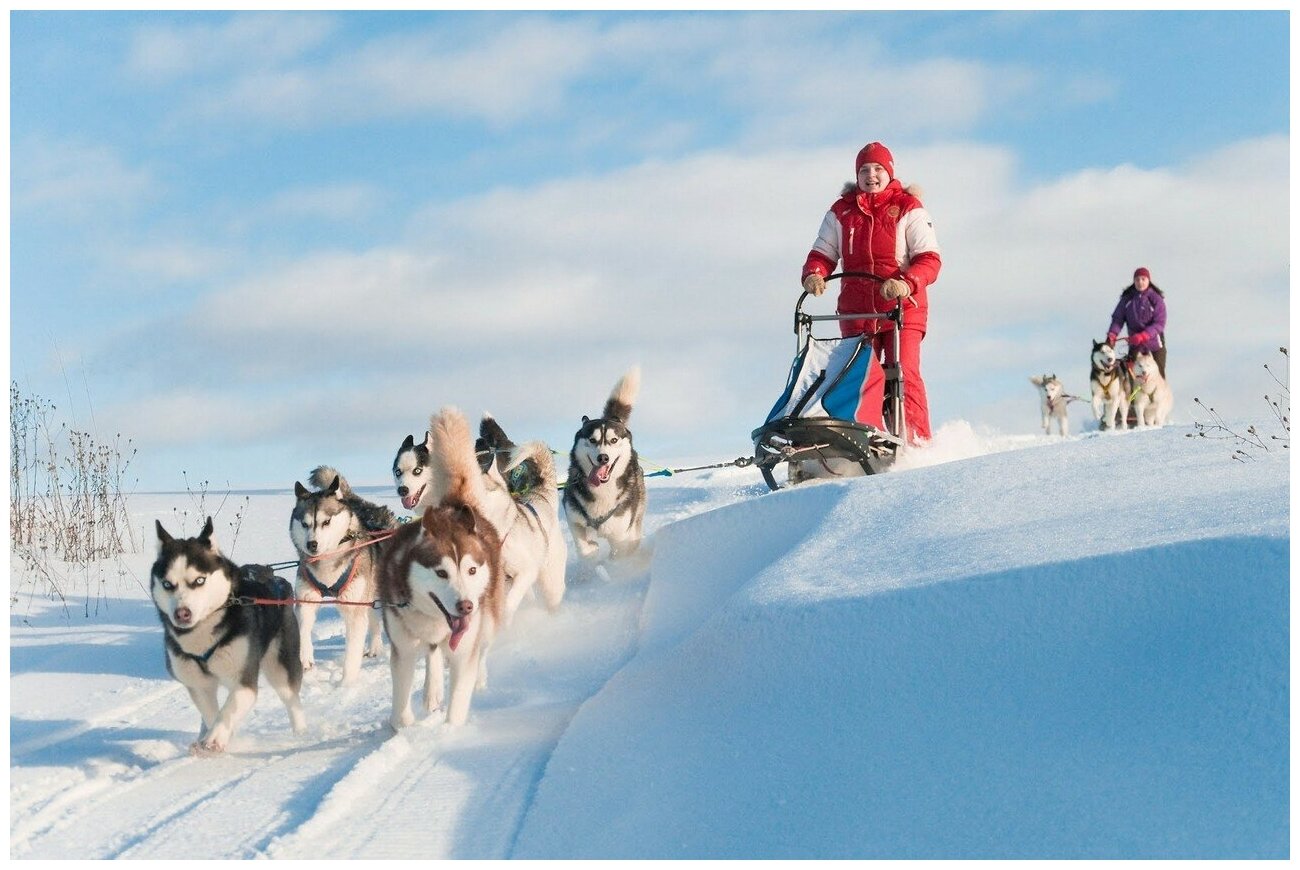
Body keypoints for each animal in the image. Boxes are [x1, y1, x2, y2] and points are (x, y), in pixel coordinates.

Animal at [150, 514, 305, 754]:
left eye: (199, 580)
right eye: (167, 584)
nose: (182, 614)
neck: (201, 638)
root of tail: (276, 579)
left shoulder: (244, 681)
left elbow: (228, 709)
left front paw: (216, 737)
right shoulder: (198, 685)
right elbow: (210, 713)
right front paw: (214, 737)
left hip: (281, 667)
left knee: (292, 699)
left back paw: (301, 733)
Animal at [289, 465, 395, 681]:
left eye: (326, 521)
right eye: (304, 524)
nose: (311, 544)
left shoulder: (353, 609)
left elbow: (352, 653)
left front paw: (347, 682)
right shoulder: (306, 599)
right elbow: (303, 630)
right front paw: (305, 658)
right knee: (373, 620)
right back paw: (375, 648)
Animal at [377, 408, 506, 728]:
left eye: (471, 571)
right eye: (441, 573)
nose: (466, 606)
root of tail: (455, 504)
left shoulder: (465, 648)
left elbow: (457, 703)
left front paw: (449, 732)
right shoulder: (403, 649)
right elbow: (400, 711)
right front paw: (405, 724)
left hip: (489, 618)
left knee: (481, 648)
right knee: (433, 653)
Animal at [564, 364, 650, 556]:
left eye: (614, 440)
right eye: (592, 440)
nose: (603, 457)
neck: (602, 492)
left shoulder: (620, 534)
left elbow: (620, 552)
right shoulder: (574, 518)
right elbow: (584, 548)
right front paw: (592, 551)